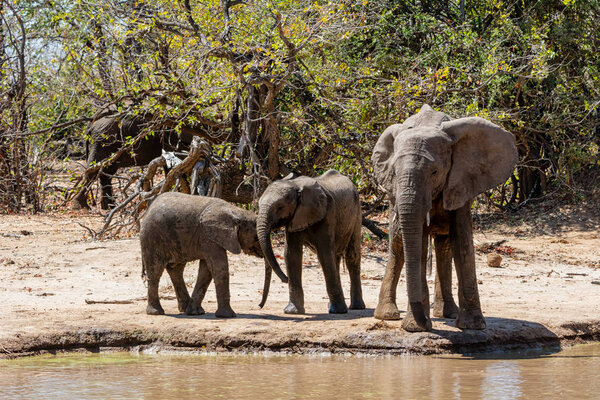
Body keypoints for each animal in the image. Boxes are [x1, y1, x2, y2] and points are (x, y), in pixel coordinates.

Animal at [139, 192, 288, 318]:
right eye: (256, 237)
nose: (259, 306)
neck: (235, 212)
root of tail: (148, 209)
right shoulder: (209, 237)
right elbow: (219, 267)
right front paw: (228, 316)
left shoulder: (210, 239)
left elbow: (206, 270)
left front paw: (196, 313)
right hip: (151, 238)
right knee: (155, 271)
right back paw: (156, 312)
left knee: (176, 269)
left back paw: (184, 309)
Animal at [255, 170, 364, 314]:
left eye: (280, 207)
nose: (259, 306)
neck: (295, 185)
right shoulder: (294, 218)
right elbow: (291, 255)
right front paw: (293, 311)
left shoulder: (327, 213)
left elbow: (324, 255)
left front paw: (339, 311)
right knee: (335, 258)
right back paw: (332, 306)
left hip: (357, 214)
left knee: (352, 256)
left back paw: (355, 307)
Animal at [370, 104, 516, 332]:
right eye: (394, 172)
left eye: (435, 172)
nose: (426, 324)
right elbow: (418, 244)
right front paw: (415, 327)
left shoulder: (462, 179)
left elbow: (462, 241)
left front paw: (472, 326)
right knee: (398, 245)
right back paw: (388, 315)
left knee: (443, 245)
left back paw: (446, 313)